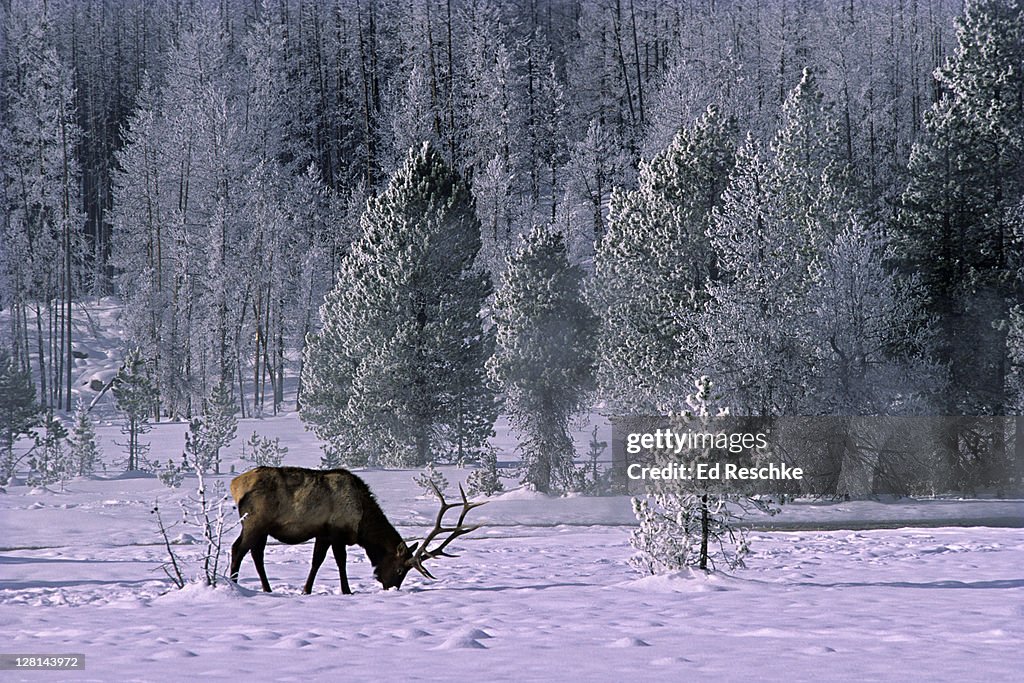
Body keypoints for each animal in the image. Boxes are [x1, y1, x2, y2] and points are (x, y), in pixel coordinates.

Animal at [228, 466, 483, 593]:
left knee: (255, 553)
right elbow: (340, 561)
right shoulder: (336, 531)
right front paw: (347, 590)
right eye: (401, 569)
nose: (391, 587)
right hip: (255, 521)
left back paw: (266, 588)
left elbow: (316, 561)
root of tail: (235, 484)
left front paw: (306, 590)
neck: (362, 524)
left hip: (261, 527)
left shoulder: (323, 533)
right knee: (238, 549)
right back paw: (235, 584)